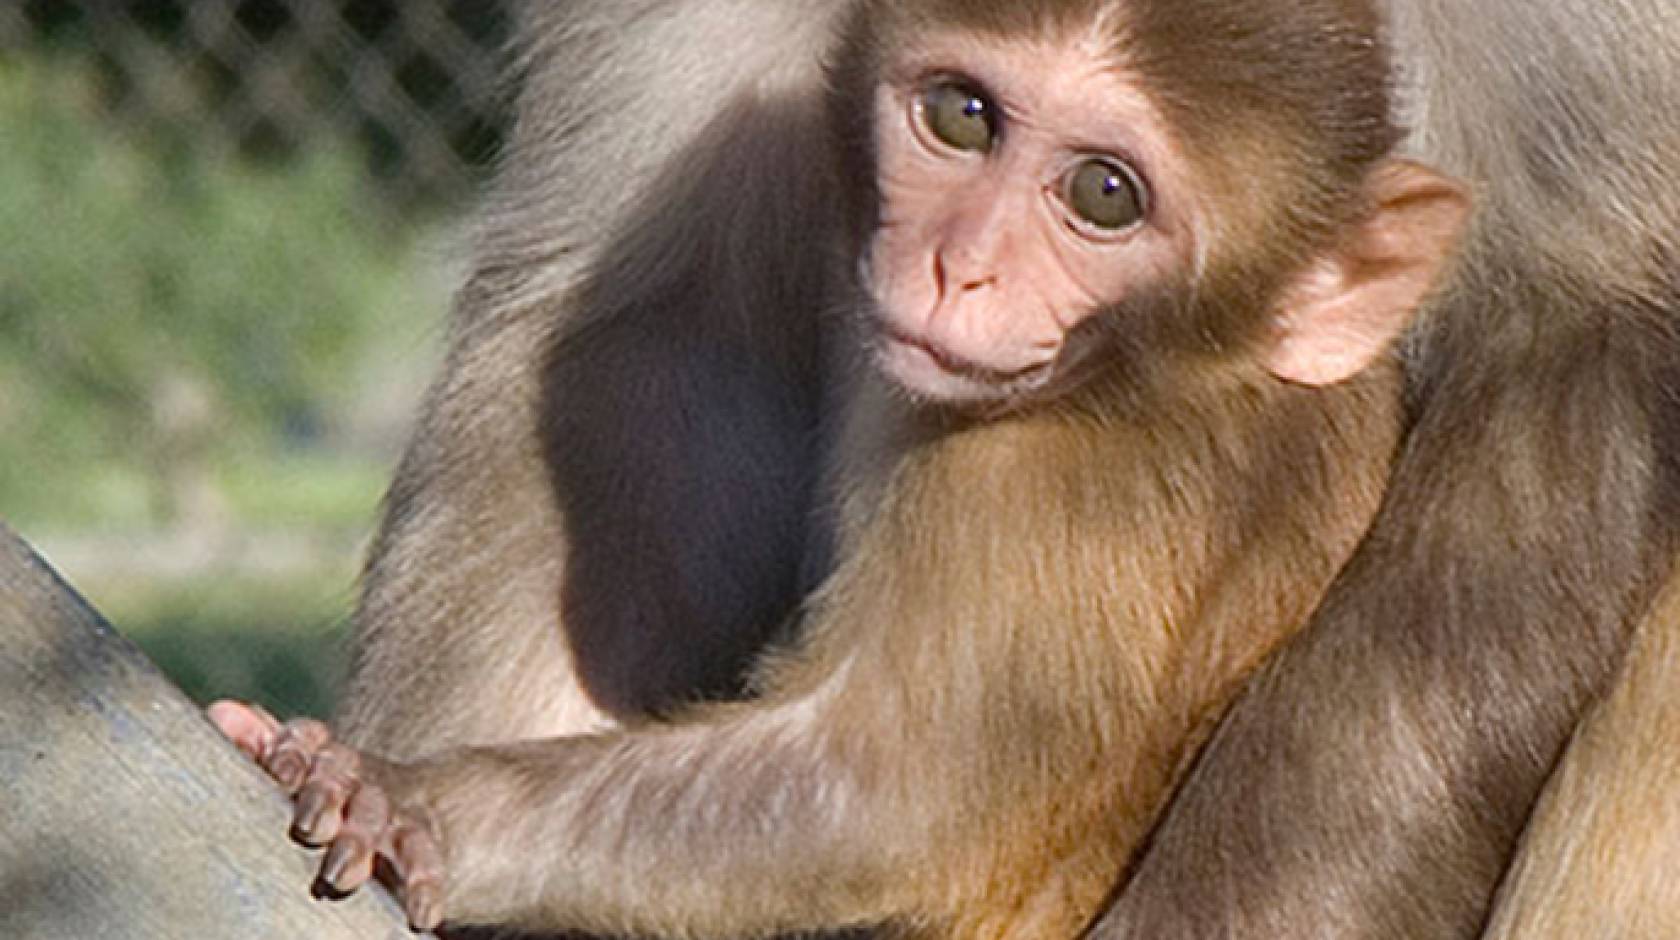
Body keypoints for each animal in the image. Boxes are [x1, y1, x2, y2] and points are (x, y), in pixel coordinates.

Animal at [209, 0, 1473, 935]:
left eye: (1103, 194)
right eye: (962, 116)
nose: (960, 265)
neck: (1185, 367)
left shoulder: (1037, 481)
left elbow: (890, 797)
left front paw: (418, 806)